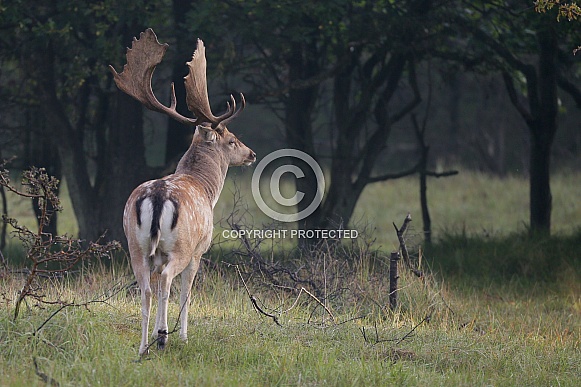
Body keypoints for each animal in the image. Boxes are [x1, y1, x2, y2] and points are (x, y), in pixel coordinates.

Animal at [109, 28, 254, 356]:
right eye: (232, 140)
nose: (251, 154)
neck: (205, 187)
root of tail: (158, 196)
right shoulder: (200, 248)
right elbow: (187, 291)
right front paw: (184, 335)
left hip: (135, 245)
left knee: (146, 289)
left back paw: (143, 346)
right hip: (180, 246)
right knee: (165, 282)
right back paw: (164, 337)